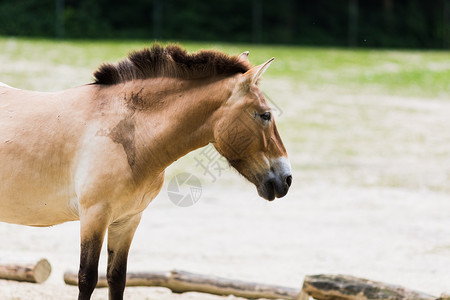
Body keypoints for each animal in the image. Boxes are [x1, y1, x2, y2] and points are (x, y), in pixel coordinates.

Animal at [0, 43, 292, 298]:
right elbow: (87, 278)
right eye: (265, 114)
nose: (286, 179)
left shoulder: (127, 220)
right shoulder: (94, 216)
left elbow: (116, 279)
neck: (127, 130)